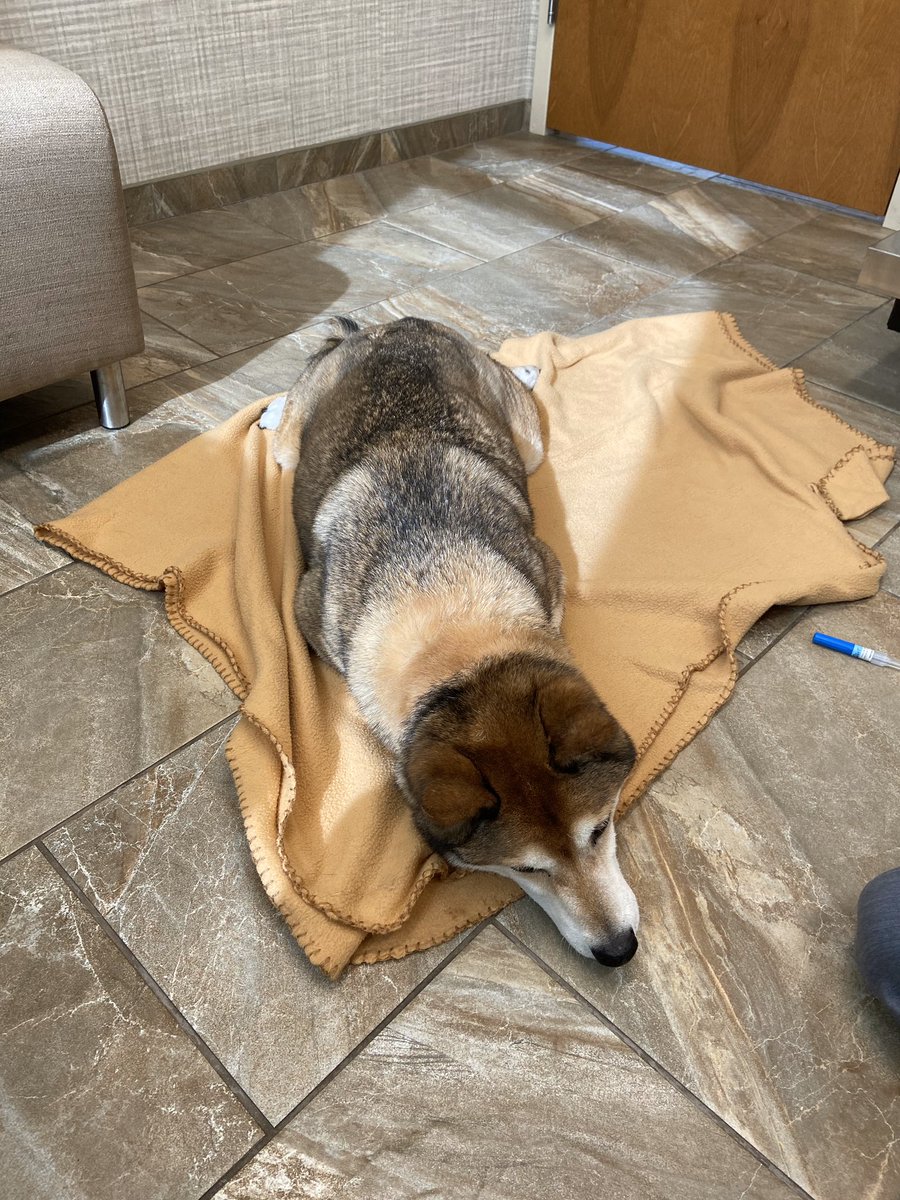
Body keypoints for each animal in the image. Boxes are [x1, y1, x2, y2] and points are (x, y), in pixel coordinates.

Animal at [273, 316, 640, 966]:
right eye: (527, 869)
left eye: (599, 830)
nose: (618, 951)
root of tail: (394, 325)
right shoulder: (309, 610)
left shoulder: (548, 572)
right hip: (291, 445)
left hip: (528, 438)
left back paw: (524, 366)